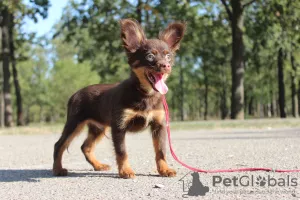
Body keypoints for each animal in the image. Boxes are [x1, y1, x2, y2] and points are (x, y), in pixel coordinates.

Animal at [52, 18, 186, 178]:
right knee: (59, 144)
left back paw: (98, 165)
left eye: (168, 56)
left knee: (85, 147)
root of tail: (74, 94)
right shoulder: (118, 127)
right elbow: (122, 151)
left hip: (98, 127)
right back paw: (57, 169)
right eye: (150, 56)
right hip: (74, 123)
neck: (145, 94)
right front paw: (125, 171)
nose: (166, 65)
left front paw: (164, 169)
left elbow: (161, 151)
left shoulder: (158, 125)